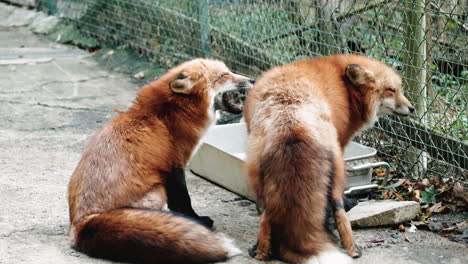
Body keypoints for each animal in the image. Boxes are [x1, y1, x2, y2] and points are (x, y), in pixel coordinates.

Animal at [66, 58, 252, 262]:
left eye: (229, 71)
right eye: (224, 75)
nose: (252, 79)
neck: (168, 113)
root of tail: (81, 225)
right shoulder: (175, 164)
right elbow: (183, 199)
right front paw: (195, 220)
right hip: (157, 192)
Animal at [245, 54, 414, 262]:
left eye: (399, 89)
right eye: (392, 90)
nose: (412, 108)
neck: (345, 88)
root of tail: (291, 121)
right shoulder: (342, 141)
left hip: (259, 178)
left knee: (267, 214)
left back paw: (261, 251)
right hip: (338, 169)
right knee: (338, 207)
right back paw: (352, 248)